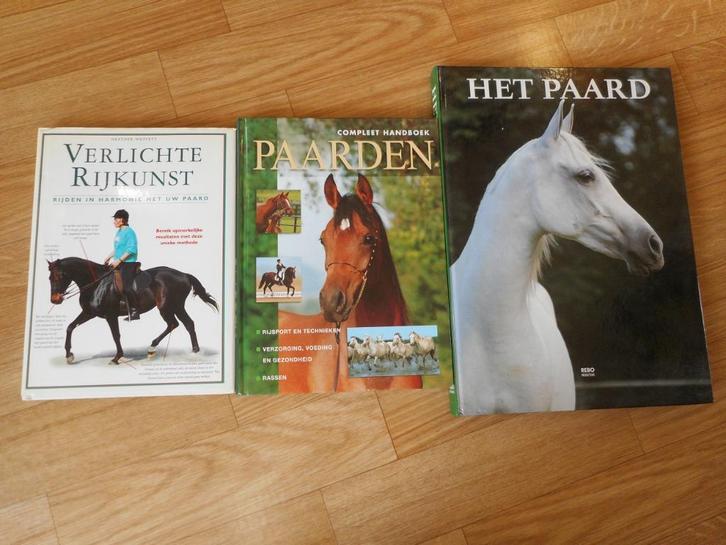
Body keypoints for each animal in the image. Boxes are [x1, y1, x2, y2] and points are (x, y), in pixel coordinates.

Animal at [47, 257, 218, 365]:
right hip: (176, 306)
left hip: (168, 306)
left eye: (60, 275)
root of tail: (184, 275)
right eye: (49, 277)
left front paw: (117, 358)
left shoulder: (111, 315)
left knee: (174, 324)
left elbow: (116, 335)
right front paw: (69, 355)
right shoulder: (89, 313)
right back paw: (193, 351)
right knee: (186, 324)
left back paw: (153, 348)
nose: (55, 299)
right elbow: (70, 327)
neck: (96, 284)